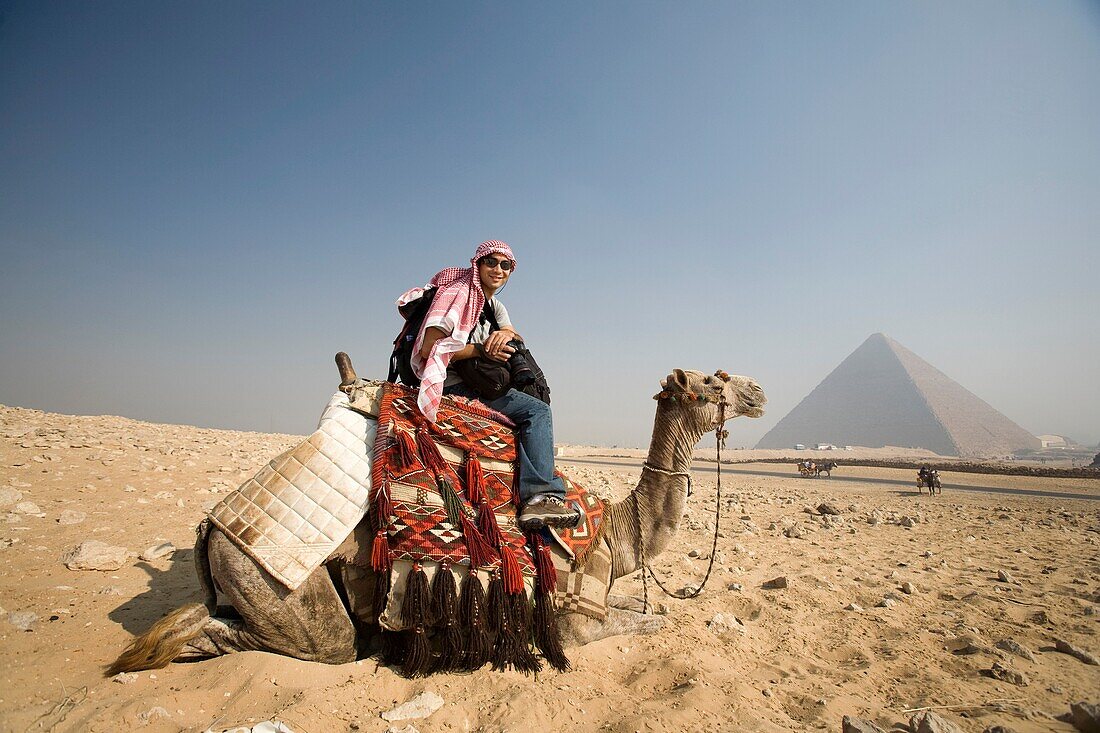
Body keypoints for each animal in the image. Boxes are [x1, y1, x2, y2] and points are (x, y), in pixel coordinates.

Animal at [109, 360, 765, 673]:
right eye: (713, 383)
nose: (757, 391)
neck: (615, 529)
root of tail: (211, 528)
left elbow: (650, 611)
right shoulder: (574, 615)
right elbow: (646, 625)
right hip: (278, 586)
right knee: (294, 639)